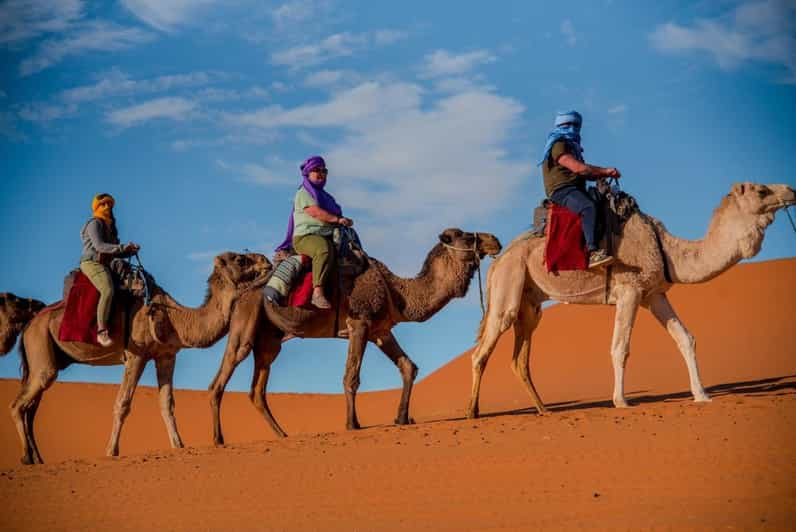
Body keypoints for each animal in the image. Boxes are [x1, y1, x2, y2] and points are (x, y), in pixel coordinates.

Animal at [10, 251, 272, 464]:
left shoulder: (166, 356)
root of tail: (29, 325)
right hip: (40, 346)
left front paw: (179, 446)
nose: (267, 261)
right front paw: (111, 451)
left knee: (30, 409)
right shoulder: (136, 355)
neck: (174, 318)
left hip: (48, 356)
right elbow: (123, 403)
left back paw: (37, 459)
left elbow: (167, 403)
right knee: (19, 405)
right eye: (240, 259)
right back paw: (26, 457)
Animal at [208, 227, 500, 442]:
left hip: (269, 339)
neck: (396, 291)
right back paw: (219, 439)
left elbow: (408, 366)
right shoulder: (359, 322)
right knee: (222, 376)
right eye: (466, 235)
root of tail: (242, 294)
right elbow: (351, 377)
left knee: (257, 389)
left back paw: (282, 435)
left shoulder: (381, 331)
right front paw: (352, 423)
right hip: (245, 324)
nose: (494, 240)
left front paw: (402, 418)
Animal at [466, 183, 796, 420]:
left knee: (519, 358)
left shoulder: (654, 294)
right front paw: (622, 401)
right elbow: (620, 347)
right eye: (762, 190)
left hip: (530, 302)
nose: (791, 190)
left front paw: (702, 395)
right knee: (482, 349)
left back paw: (543, 410)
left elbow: (685, 338)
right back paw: (472, 412)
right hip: (509, 286)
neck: (666, 249)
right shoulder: (630, 290)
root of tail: (499, 260)